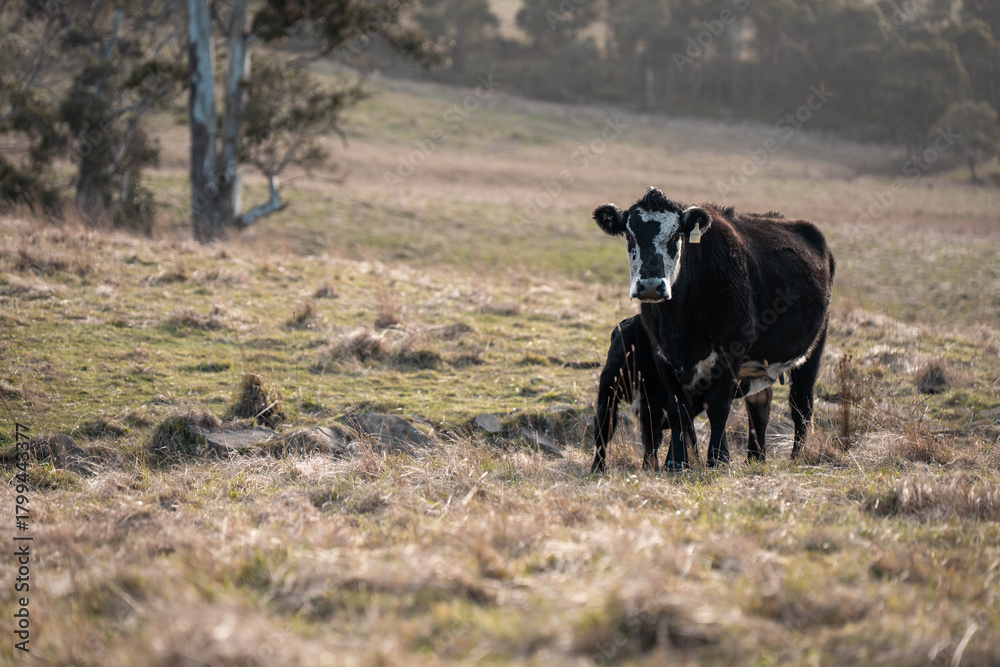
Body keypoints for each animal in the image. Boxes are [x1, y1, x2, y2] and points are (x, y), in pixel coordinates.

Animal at [592, 187, 835, 470]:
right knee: (759, 407)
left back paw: (797, 457)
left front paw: (718, 459)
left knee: (801, 405)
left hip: (814, 346)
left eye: (676, 235)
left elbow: (718, 407)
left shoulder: (732, 348)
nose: (650, 285)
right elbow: (677, 409)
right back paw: (755, 458)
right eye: (630, 236)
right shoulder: (662, 353)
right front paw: (677, 462)